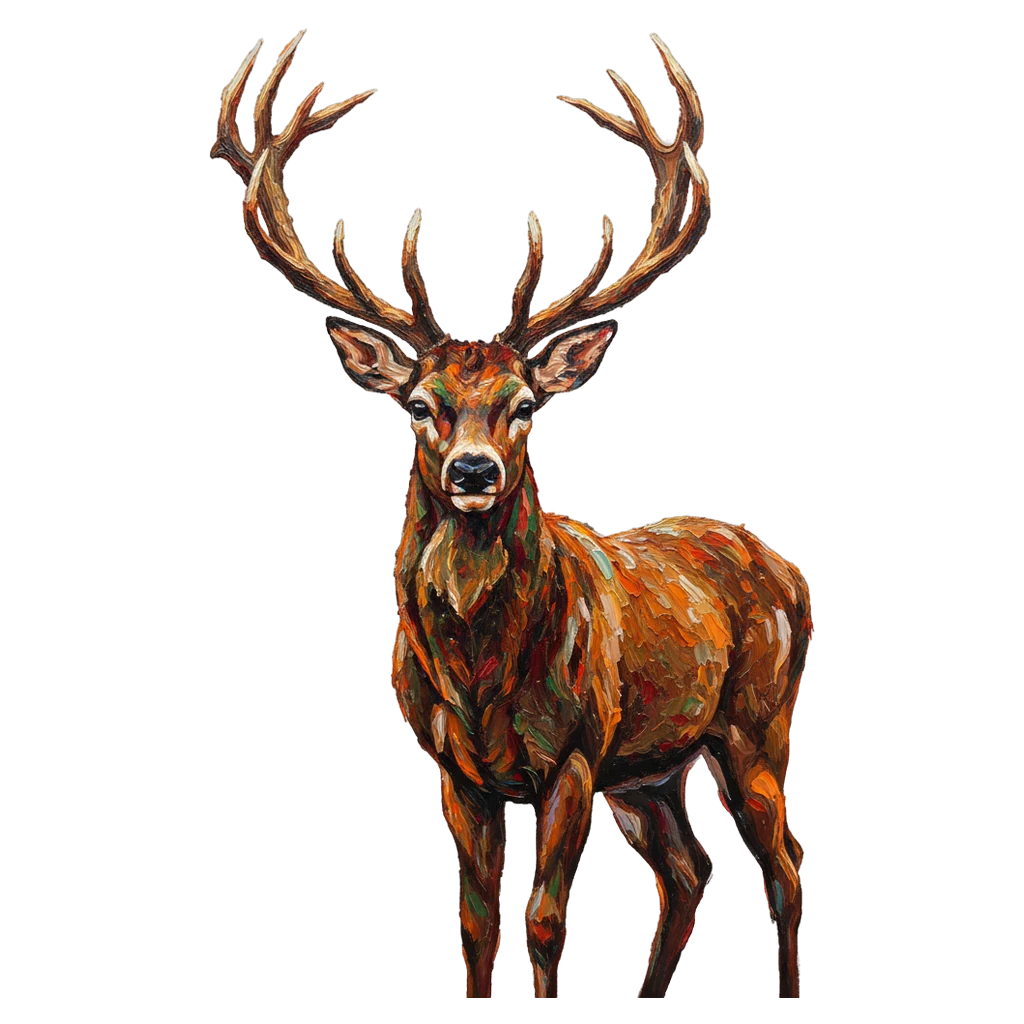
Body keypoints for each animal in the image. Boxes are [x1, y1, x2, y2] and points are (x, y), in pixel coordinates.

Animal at [212, 30, 812, 1000]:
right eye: (420, 404)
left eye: (525, 403)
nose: (472, 470)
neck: (480, 672)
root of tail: (783, 565)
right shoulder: (456, 769)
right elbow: (474, 925)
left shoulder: (571, 753)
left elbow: (542, 922)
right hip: (647, 771)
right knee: (687, 872)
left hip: (758, 721)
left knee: (785, 867)